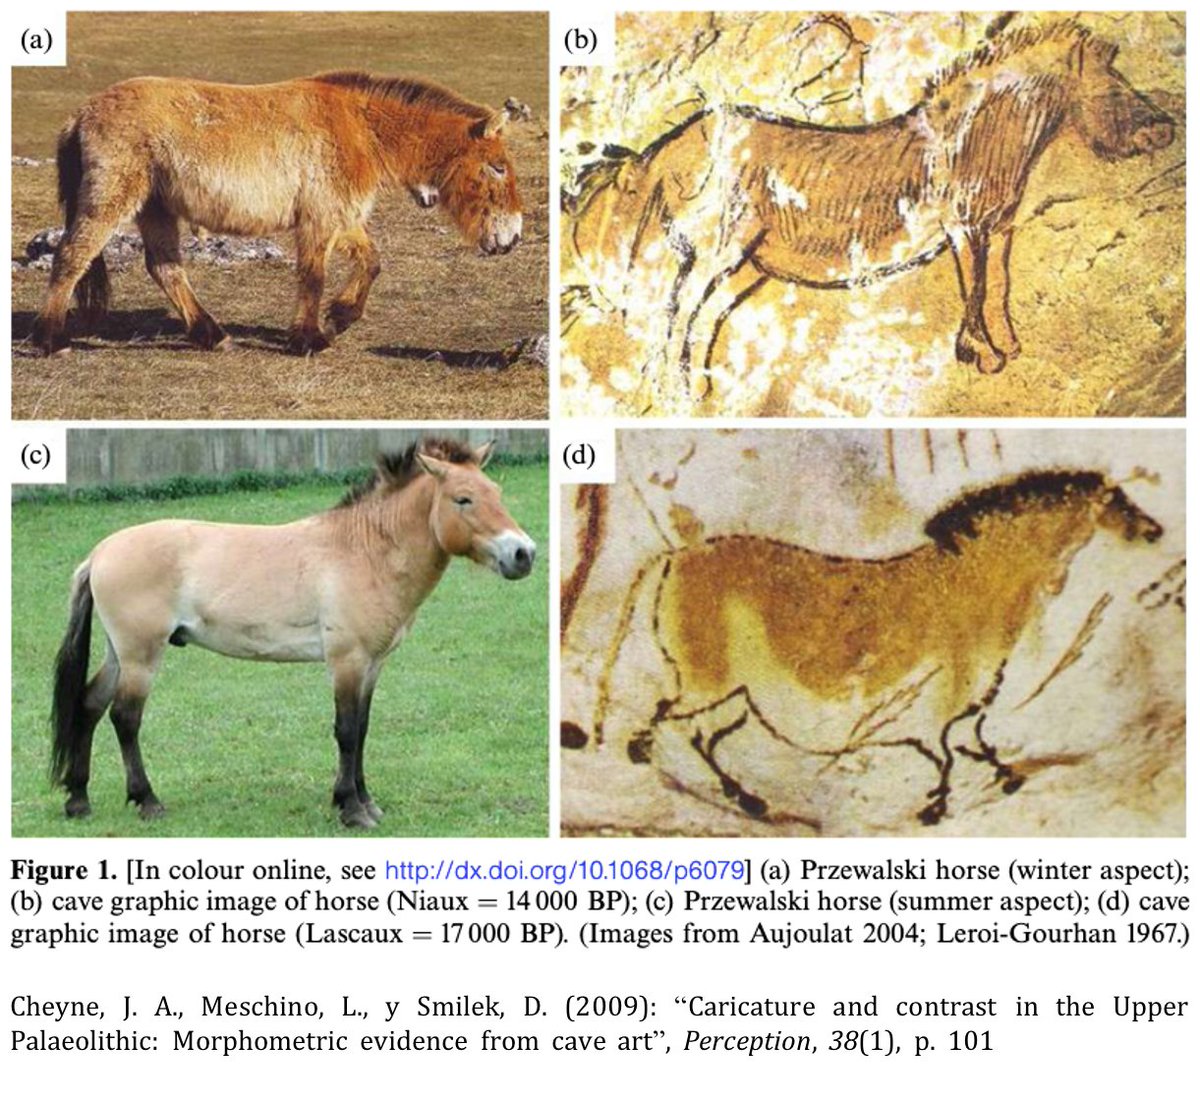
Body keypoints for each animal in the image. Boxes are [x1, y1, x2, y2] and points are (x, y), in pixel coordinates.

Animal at [32, 73, 529, 356]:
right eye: (498, 167)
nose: (513, 238)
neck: (360, 129)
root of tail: (79, 115)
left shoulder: (341, 217)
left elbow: (372, 261)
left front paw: (341, 316)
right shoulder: (320, 220)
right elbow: (313, 276)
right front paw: (310, 338)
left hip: (155, 206)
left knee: (165, 268)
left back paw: (211, 334)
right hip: (112, 201)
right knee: (71, 258)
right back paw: (52, 340)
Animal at [49, 439, 537, 829]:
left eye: (496, 493)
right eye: (463, 499)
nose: (523, 553)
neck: (364, 551)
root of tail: (100, 553)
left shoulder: (372, 665)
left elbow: (363, 730)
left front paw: (366, 802)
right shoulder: (346, 661)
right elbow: (346, 731)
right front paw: (351, 810)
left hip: (119, 654)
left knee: (89, 705)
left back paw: (79, 801)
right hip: (141, 655)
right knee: (125, 717)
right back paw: (147, 801)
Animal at [569, 20, 1175, 404]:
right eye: (1115, 91)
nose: (1165, 131)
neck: (974, 138)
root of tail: (675, 141)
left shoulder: (998, 228)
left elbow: (999, 286)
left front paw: (1007, 348)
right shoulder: (964, 228)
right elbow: (976, 287)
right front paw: (981, 354)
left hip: (747, 268)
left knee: (699, 314)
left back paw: (695, 388)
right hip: (720, 251)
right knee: (679, 311)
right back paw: (673, 390)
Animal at [592, 470, 1163, 827]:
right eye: (1116, 501)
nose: (1156, 530)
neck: (978, 583)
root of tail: (675, 555)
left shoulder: (971, 697)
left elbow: (975, 742)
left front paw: (1006, 779)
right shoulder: (946, 695)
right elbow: (947, 753)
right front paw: (936, 808)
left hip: (734, 695)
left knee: (700, 738)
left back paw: (748, 799)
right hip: (708, 680)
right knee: (667, 720)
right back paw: (653, 761)